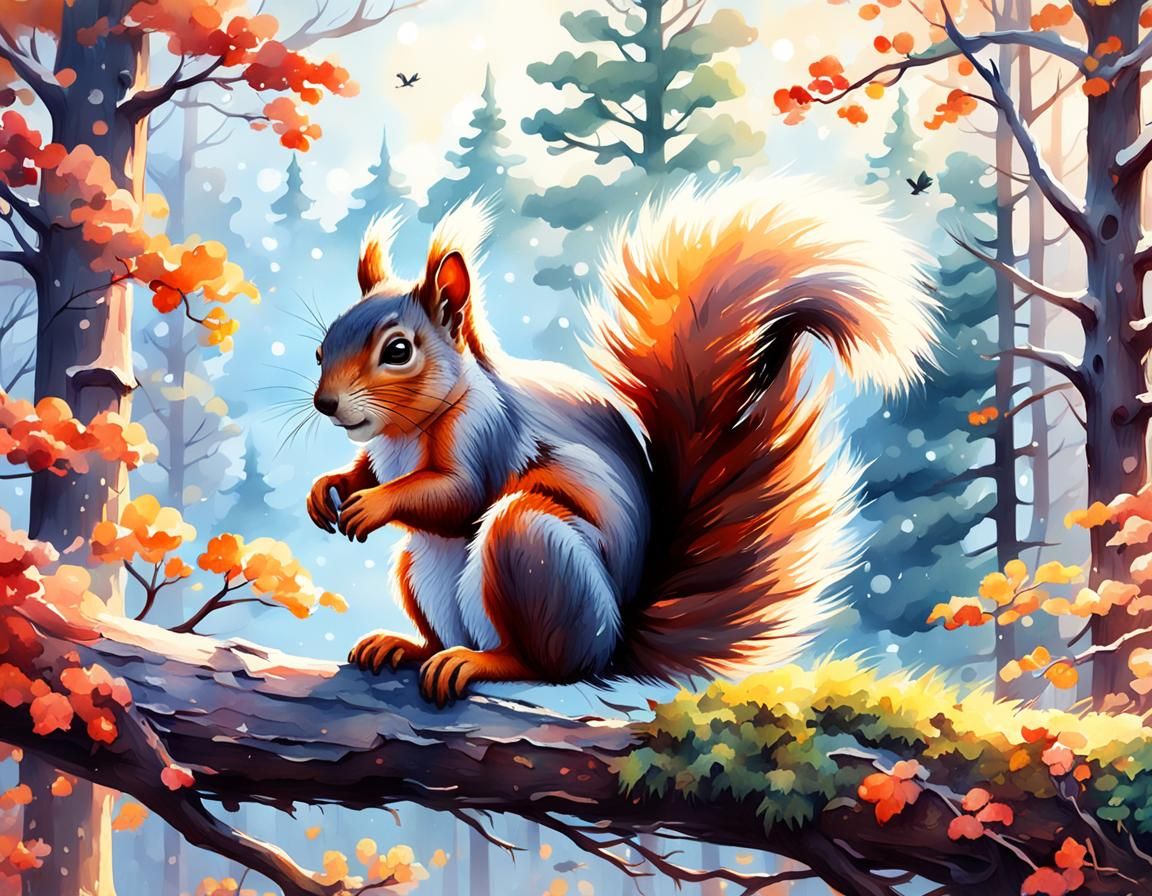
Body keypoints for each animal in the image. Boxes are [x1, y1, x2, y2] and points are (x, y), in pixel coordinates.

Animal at [307, 179, 937, 706]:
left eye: (398, 351)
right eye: (321, 347)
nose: (326, 404)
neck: (404, 431)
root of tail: (612, 645)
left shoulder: (487, 432)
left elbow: (460, 495)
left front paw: (375, 504)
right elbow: (365, 471)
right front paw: (328, 488)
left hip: (534, 550)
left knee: (547, 664)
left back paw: (482, 662)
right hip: (422, 568)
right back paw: (408, 648)